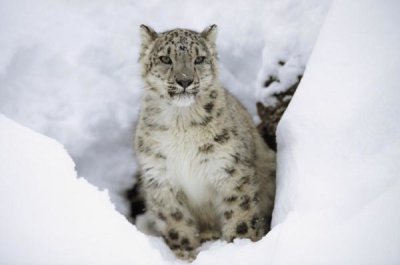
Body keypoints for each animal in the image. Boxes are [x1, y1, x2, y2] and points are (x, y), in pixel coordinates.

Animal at [134, 24, 276, 260]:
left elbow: (240, 214)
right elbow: (176, 222)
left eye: (199, 59)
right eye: (165, 59)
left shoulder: (229, 169)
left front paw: (240, 245)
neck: (181, 123)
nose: (184, 80)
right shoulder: (160, 177)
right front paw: (185, 254)